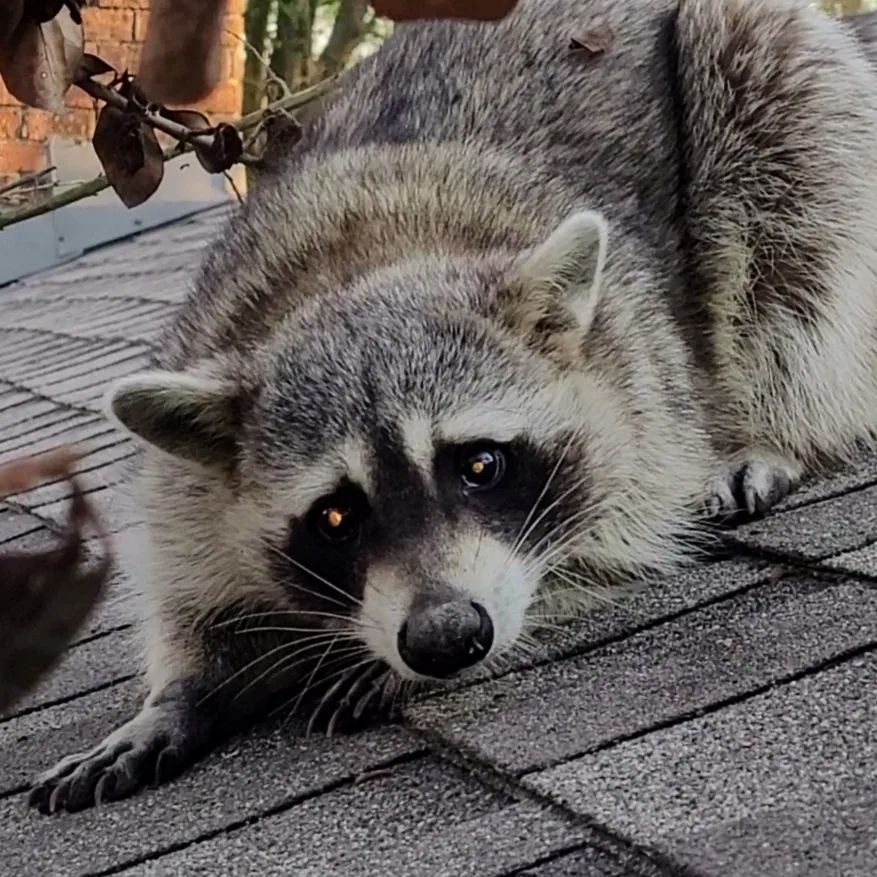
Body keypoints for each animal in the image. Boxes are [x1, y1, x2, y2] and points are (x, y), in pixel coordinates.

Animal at [27, 0, 877, 816]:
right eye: (334, 515)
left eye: (479, 465)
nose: (444, 637)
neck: (354, 268)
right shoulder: (188, 466)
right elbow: (192, 592)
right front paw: (176, 692)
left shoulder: (640, 396)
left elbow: (610, 539)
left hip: (771, 88)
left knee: (793, 249)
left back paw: (770, 429)